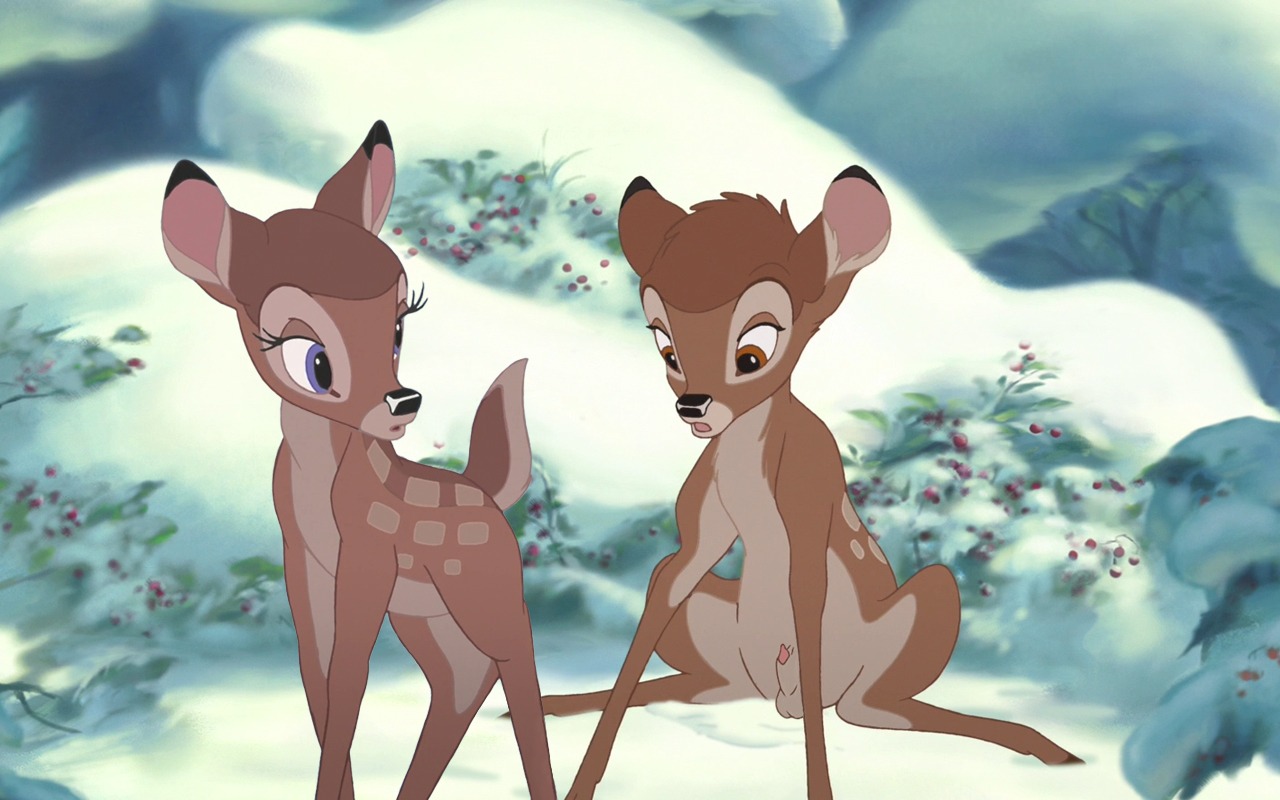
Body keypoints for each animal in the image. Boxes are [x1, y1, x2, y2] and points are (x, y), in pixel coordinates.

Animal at [159, 121, 556, 800]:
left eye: (398, 327)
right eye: (313, 360)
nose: (403, 401)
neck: (322, 483)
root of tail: (487, 491)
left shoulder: (368, 559)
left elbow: (350, 680)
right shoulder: (305, 561)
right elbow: (319, 681)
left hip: (486, 597)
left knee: (517, 662)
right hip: (426, 617)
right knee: (462, 679)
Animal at [540, 167, 1083, 799]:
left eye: (753, 352)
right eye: (665, 346)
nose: (692, 406)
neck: (748, 461)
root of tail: (775, 695)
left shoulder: (807, 530)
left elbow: (807, 609)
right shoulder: (692, 549)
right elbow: (652, 620)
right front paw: (579, 781)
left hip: (928, 602)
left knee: (865, 708)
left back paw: (1043, 746)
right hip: (727, 659)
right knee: (701, 687)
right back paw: (557, 701)